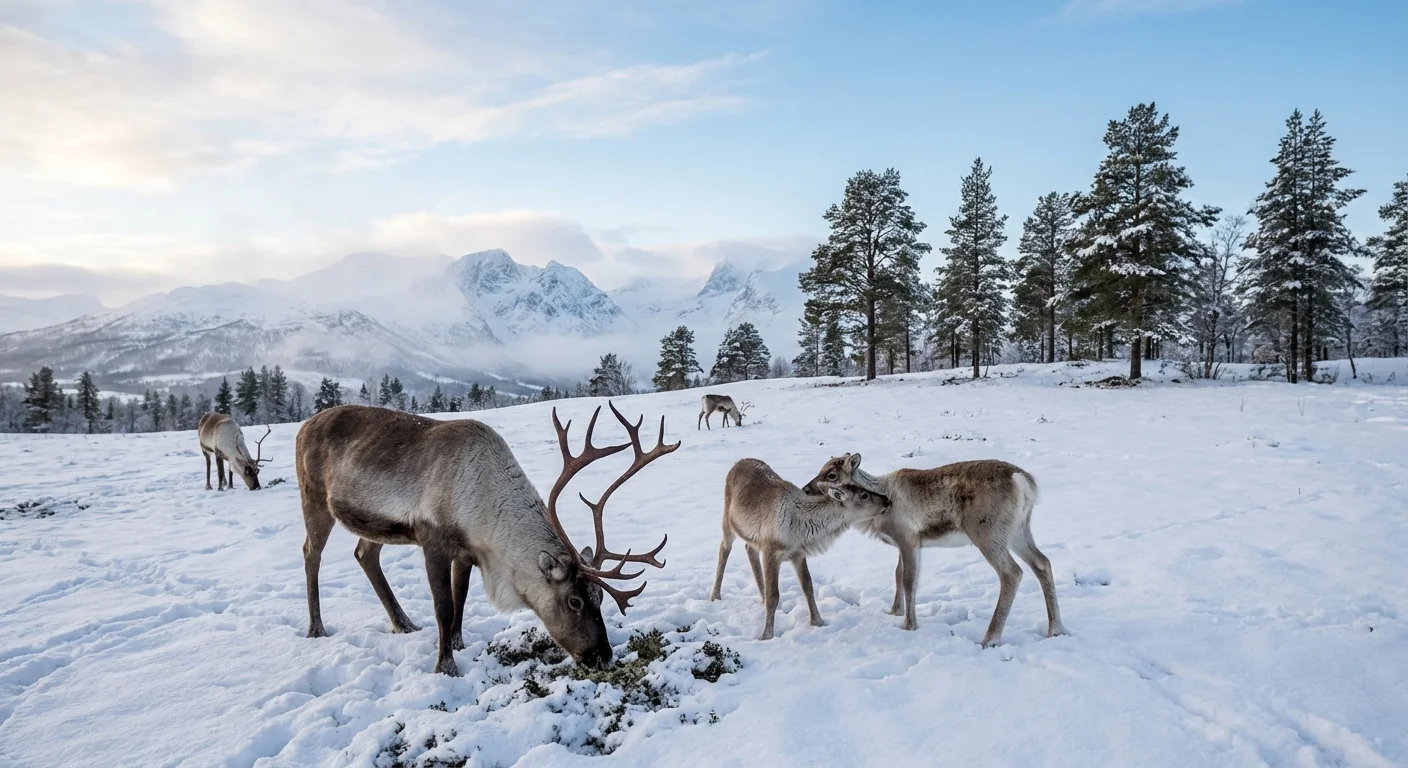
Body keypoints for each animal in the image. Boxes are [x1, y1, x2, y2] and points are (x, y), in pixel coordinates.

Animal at [294, 402, 676, 676]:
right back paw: (316, 628)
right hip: (314, 497)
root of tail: (303, 426)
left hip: (374, 525)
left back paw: (403, 624)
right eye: (574, 602)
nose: (602, 657)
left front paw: (459, 644)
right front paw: (445, 666)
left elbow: (461, 598)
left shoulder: (467, 552)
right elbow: (444, 607)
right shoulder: (433, 540)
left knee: (364, 555)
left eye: (600, 597)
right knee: (311, 552)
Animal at [710, 458, 891, 640]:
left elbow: (808, 587)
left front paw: (818, 622)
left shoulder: (798, 554)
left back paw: (761, 597)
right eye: (864, 495)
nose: (887, 500)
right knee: (724, 549)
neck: (801, 529)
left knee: (749, 547)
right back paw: (715, 595)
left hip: (752, 536)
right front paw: (766, 635)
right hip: (727, 520)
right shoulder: (771, 552)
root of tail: (738, 462)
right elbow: (774, 595)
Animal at [804, 453, 1065, 648]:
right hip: (1018, 531)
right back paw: (1056, 629)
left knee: (1012, 573)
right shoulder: (904, 544)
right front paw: (894, 612)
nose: (806, 489)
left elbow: (909, 581)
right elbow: (897, 574)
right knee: (1043, 563)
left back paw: (989, 639)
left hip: (988, 533)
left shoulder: (908, 539)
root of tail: (1023, 482)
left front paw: (909, 625)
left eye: (831, 474)